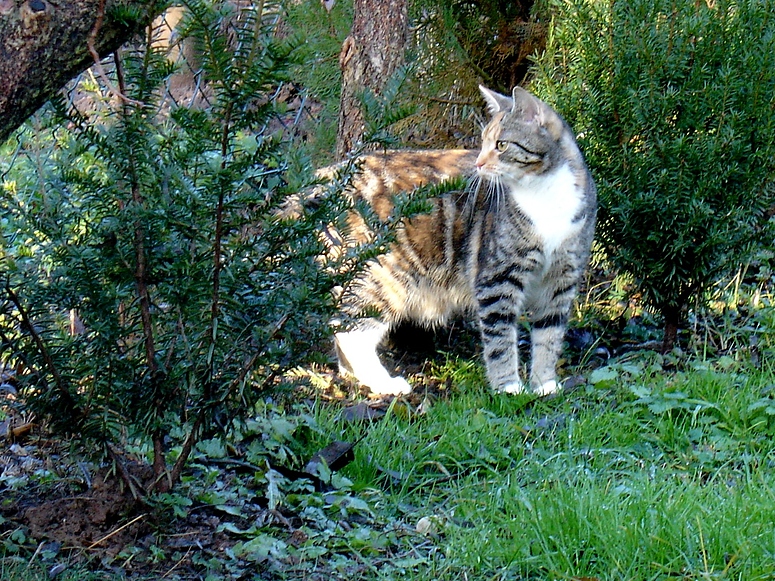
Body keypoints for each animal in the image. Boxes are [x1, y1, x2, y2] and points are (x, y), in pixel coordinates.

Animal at [330, 85, 596, 394]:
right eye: (483, 143)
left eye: (501, 145)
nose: (478, 163)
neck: (544, 194)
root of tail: (325, 179)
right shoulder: (497, 278)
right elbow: (500, 339)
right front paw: (508, 387)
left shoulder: (561, 279)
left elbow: (549, 335)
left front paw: (545, 384)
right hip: (379, 279)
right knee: (349, 331)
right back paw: (383, 382)